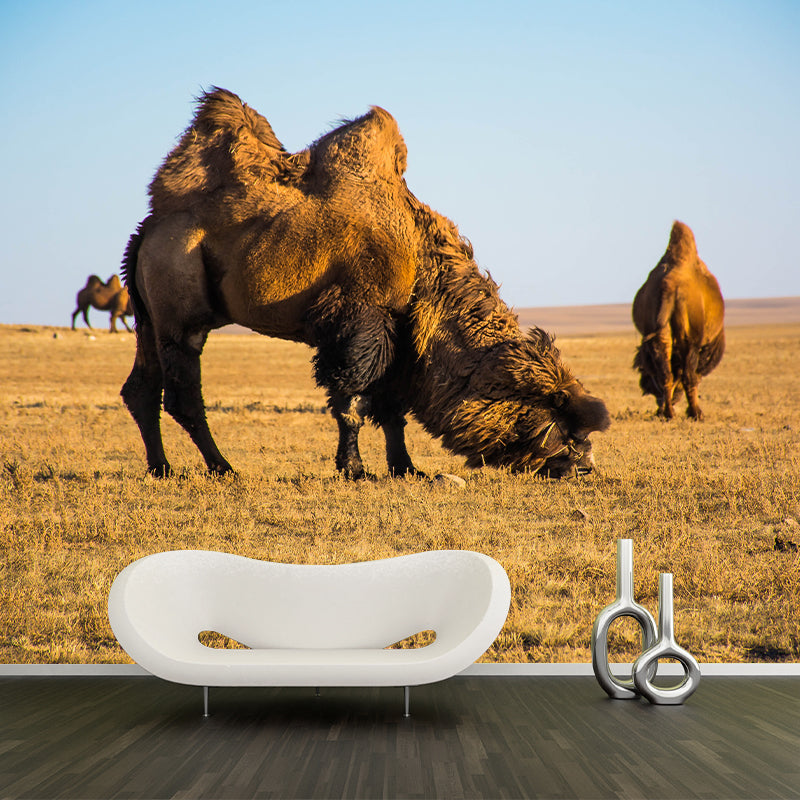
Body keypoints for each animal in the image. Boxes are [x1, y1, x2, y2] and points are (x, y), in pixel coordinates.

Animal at [121, 88, 609, 479]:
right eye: (561, 418)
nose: (585, 467)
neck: (424, 267)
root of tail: (148, 230)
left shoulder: (403, 335)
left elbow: (392, 410)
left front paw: (406, 468)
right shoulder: (363, 321)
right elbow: (353, 402)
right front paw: (355, 470)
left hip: (147, 316)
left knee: (141, 388)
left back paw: (161, 467)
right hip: (181, 311)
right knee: (182, 395)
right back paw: (222, 467)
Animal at [633, 221, 725, 420]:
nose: (645, 387)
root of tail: (670, 288)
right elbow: (692, 374)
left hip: (661, 333)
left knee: (666, 373)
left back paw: (667, 412)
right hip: (690, 339)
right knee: (688, 375)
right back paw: (696, 413)